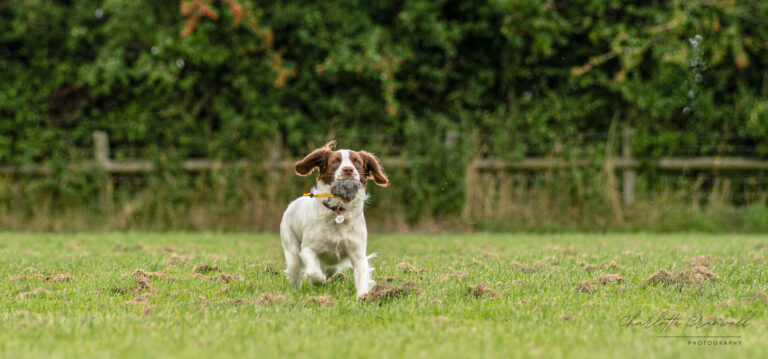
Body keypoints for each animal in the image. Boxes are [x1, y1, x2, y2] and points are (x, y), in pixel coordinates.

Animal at [280, 142, 390, 300]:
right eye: (335, 161)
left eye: (357, 162)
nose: (348, 169)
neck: (338, 209)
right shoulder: (307, 249)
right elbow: (315, 273)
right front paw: (317, 280)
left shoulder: (358, 253)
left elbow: (362, 276)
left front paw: (362, 298)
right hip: (292, 251)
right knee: (296, 275)